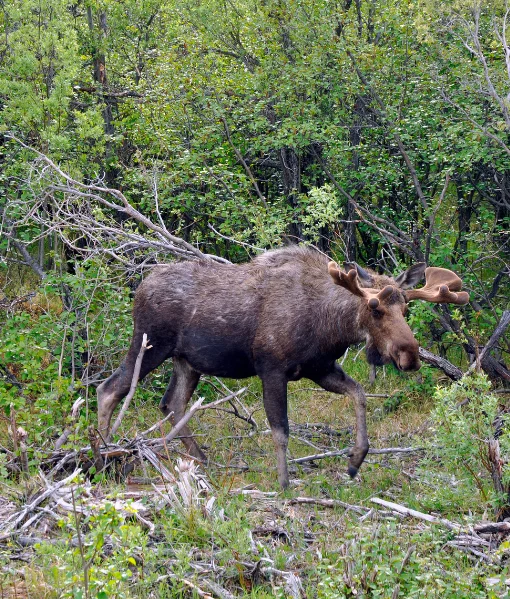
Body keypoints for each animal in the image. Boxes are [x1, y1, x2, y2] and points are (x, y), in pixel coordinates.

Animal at [97, 246, 468, 490]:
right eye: (374, 307)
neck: (330, 326)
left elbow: (360, 393)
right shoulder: (271, 369)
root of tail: (140, 288)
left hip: (187, 362)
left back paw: (200, 461)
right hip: (150, 345)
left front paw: (355, 460)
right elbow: (280, 430)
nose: (410, 355)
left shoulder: (320, 369)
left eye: (405, 308)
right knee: (109, 389)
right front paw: (284, 482)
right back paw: (102, 457)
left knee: (171, 403)